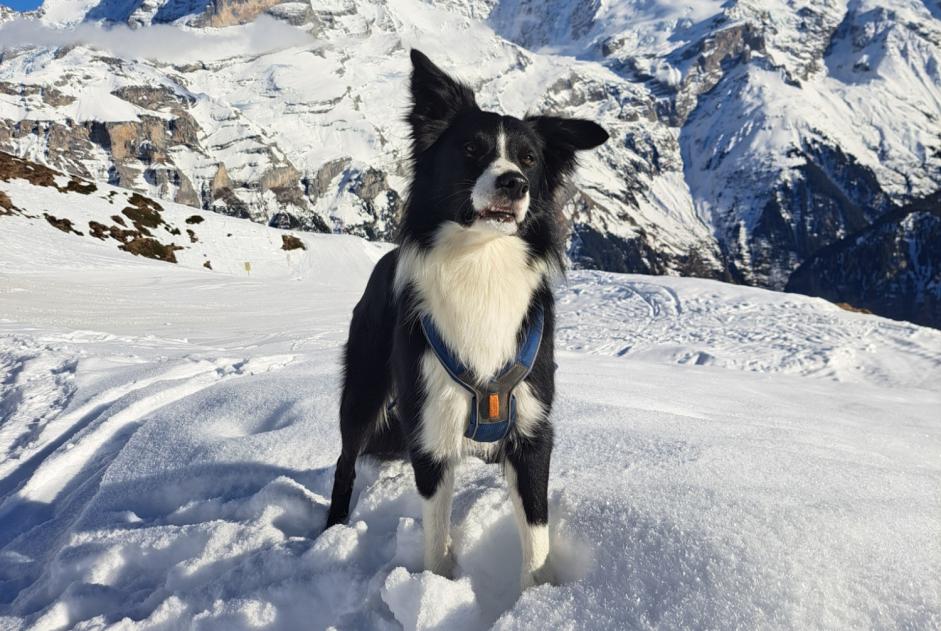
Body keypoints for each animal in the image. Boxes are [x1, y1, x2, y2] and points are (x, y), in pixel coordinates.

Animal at [324, 50, 608, 592]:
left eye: (529, 159)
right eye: (472, 148)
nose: (513, 183)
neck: (482, 264)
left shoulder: (533, 426)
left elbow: (536, 533)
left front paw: (537, 596)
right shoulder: (434, 425)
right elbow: (436, 535)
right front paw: (435, 587)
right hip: (364, 388)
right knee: (345, 459)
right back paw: (329, 531)